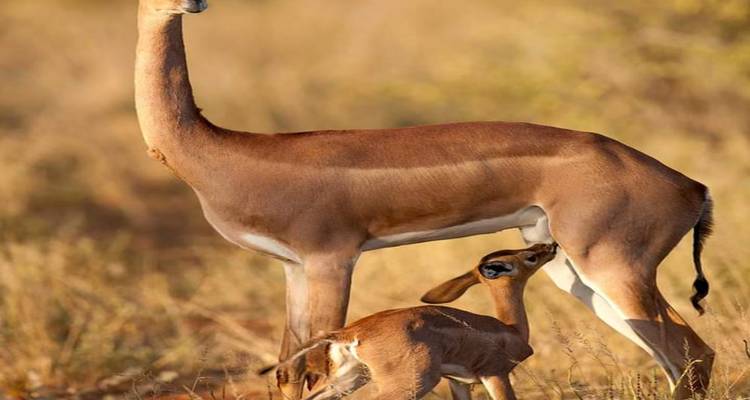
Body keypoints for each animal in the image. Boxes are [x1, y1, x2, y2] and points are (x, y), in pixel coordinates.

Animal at [260, 243, 558, 400]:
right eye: (530, 257)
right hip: (410, 384)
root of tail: (352, 331)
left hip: (348, 378)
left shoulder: (459, 381)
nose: (551, 246)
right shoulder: (495, 373)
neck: (510, 328)